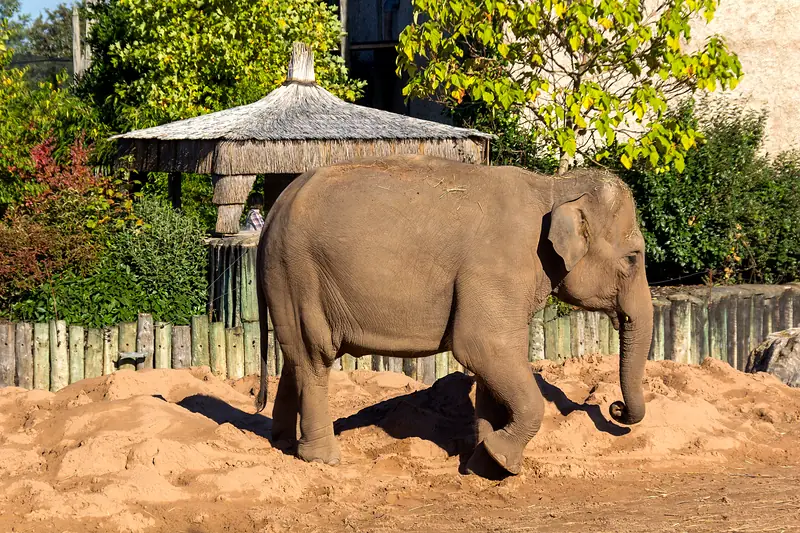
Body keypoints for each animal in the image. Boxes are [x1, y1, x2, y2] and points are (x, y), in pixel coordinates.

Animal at [254, 154, 653, 475]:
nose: (616, 407)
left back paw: (282, 444)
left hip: (288, 278)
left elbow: (495, 365)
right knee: (313, 355)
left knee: (294, 357)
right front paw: (501, 460)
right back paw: (323, 460)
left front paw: (484, 463)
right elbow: (483, 347)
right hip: (298, 271)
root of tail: (276, 207)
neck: (553, 187)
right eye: (633, 258)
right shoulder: (496, 269)